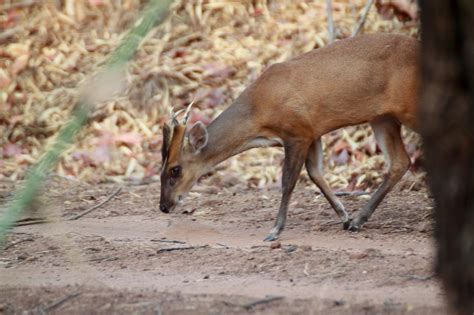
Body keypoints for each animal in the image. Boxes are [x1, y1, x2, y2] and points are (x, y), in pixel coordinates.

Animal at [159, 34, 418, 242]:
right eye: (161, 170)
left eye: (175, 170)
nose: (163, 206)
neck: (258, 115)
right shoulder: (312, 132)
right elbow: (315, 173)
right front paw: (344, 217)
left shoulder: (297, 131)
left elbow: (288, 181)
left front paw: (275, 230)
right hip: (382, 117)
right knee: (400, 162)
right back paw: (359, 220)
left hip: (408, 108)